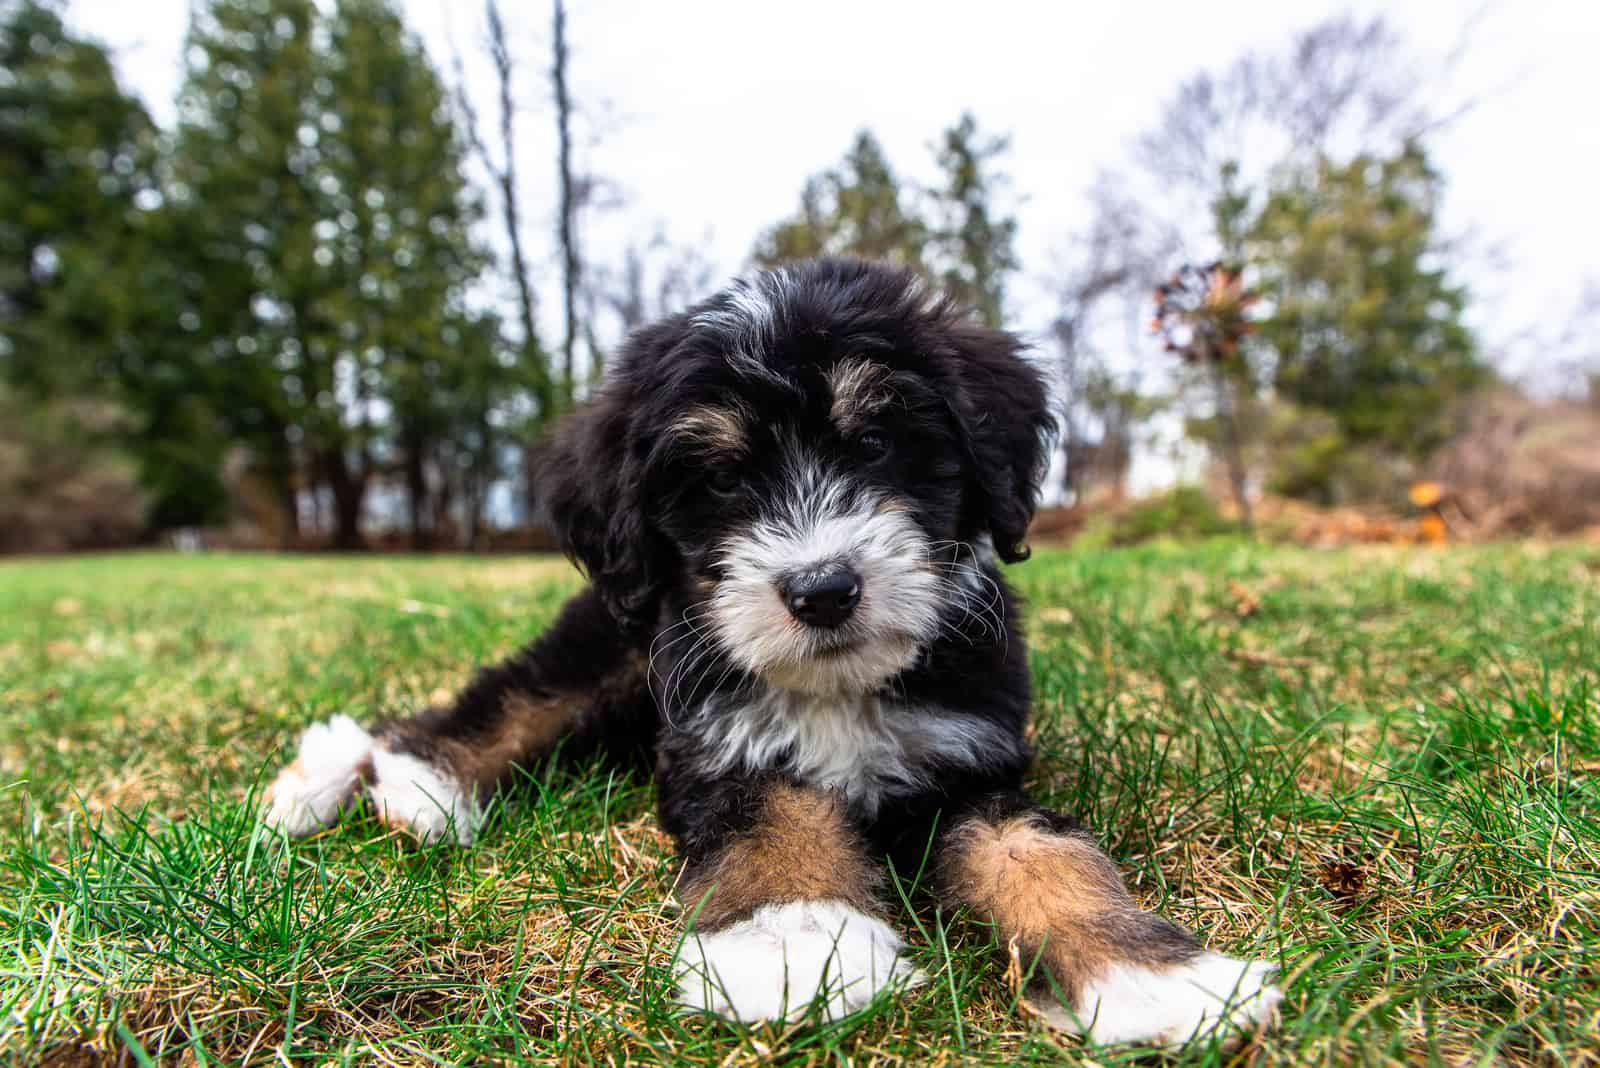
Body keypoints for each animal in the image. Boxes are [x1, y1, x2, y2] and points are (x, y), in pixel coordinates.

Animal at [265, 262, 1286, 1048]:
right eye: (720, 480)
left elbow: (1047, 855)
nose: (823, 589)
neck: (837, 686)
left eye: (874, 442)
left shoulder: (971, 760)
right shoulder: (720, 746)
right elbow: (778, 817)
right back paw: (386, 778)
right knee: (507, 700)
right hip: (616, 639)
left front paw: (1154, 977)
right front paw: (798, 942)